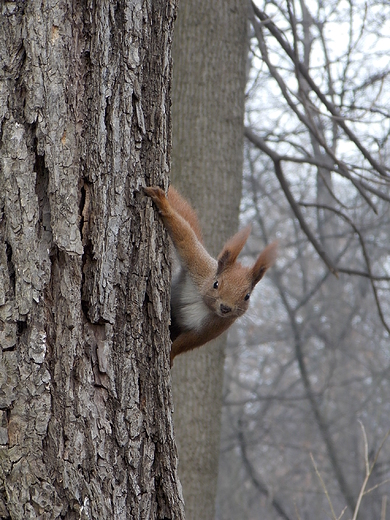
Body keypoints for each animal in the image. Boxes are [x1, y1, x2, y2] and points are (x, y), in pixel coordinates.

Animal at [144, 186, 278, 366]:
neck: (205, 303)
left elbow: (189, 341)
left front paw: (171, 354)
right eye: (216, 284)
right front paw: (163, 203)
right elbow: (185, 237)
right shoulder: (198, 265)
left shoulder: (217, 325)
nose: (225, 307)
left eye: (247, 296)